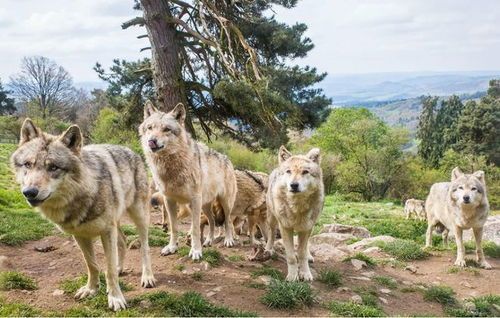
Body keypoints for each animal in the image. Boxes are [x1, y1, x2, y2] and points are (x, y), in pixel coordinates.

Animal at [11, 119, 156, 310]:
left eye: (53, 167)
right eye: (28, 164)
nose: (29, 192)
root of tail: (132, 151)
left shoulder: (106, 231)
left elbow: (109, 269)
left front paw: (115, 298)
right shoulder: (80, 235)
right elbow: (92, 265)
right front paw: (91, 289)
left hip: (139, 217)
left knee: (144, 247)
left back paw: (147, 277)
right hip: (116, 223)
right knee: (123, 241)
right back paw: (120, 268)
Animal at [138, 100, 237, 260]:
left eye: (166, 129)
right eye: (150, 128)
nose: (151, 141)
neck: (171, 168)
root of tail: (228, 159)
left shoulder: (194, 201)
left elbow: (195, 229)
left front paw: (196, 251)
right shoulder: (169, 201)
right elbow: (174, 226)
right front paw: (171, 247)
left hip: (224, 203)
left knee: (227, 221)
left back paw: (228, 240)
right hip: (205, 205)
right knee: (212, 221)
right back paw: (208, 241)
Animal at [266, 147, 324, 280]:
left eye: (305, 172)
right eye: (289, 171)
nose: (293, 185)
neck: (297, 207)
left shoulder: (306, 228)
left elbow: (302, 253)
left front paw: (305, 273)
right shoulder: (285, 227)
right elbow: (291, 256)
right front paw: (293, 276)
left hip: (311, 225)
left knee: (306, 245)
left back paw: (309, 256)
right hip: (272, 220)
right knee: (271, 234)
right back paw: (268, 250)